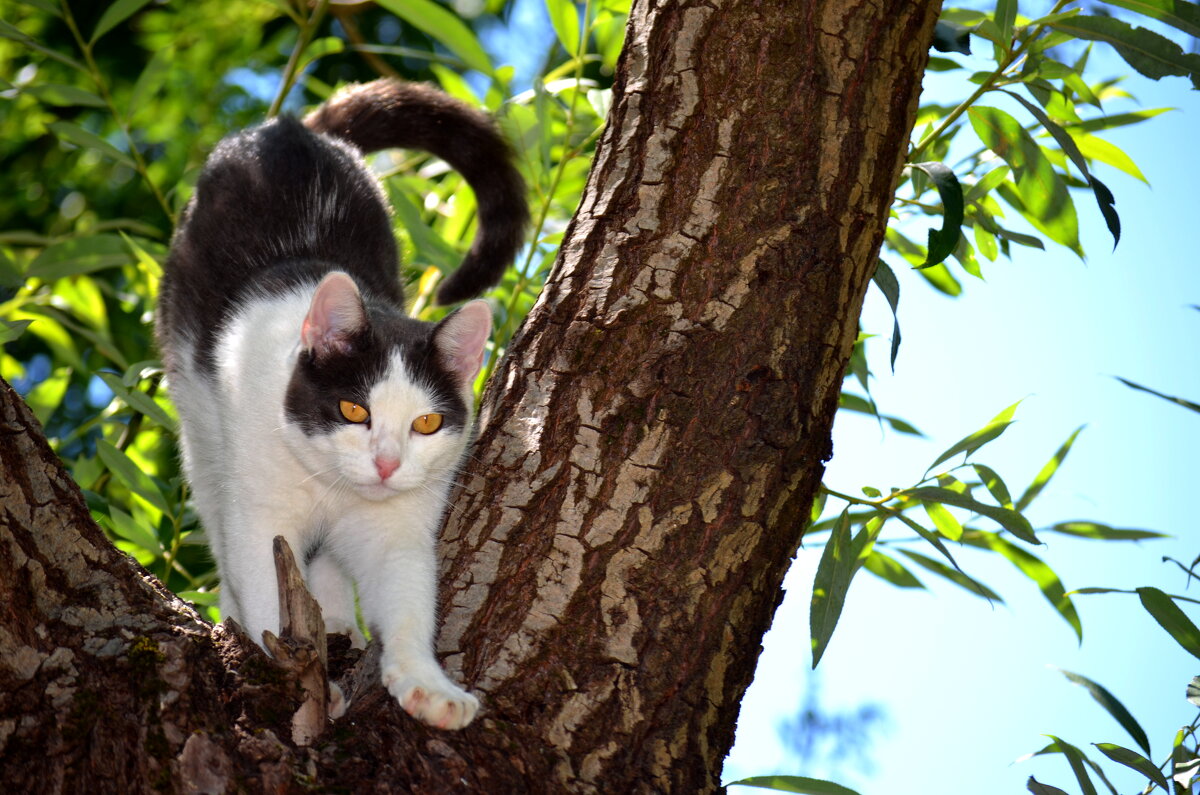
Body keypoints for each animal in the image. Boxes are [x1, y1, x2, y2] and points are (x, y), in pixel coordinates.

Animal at [153, 78, 525, 730]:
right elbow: (264, 585)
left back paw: (334, 622)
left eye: (427, 422)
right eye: (355, 411)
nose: (386, 464)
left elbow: (408, 600)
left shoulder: (401, 529)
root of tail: (290, 128)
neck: (334, 487)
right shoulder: (262, 512)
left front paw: (427, 684)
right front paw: (292, 680)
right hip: (200, 420)